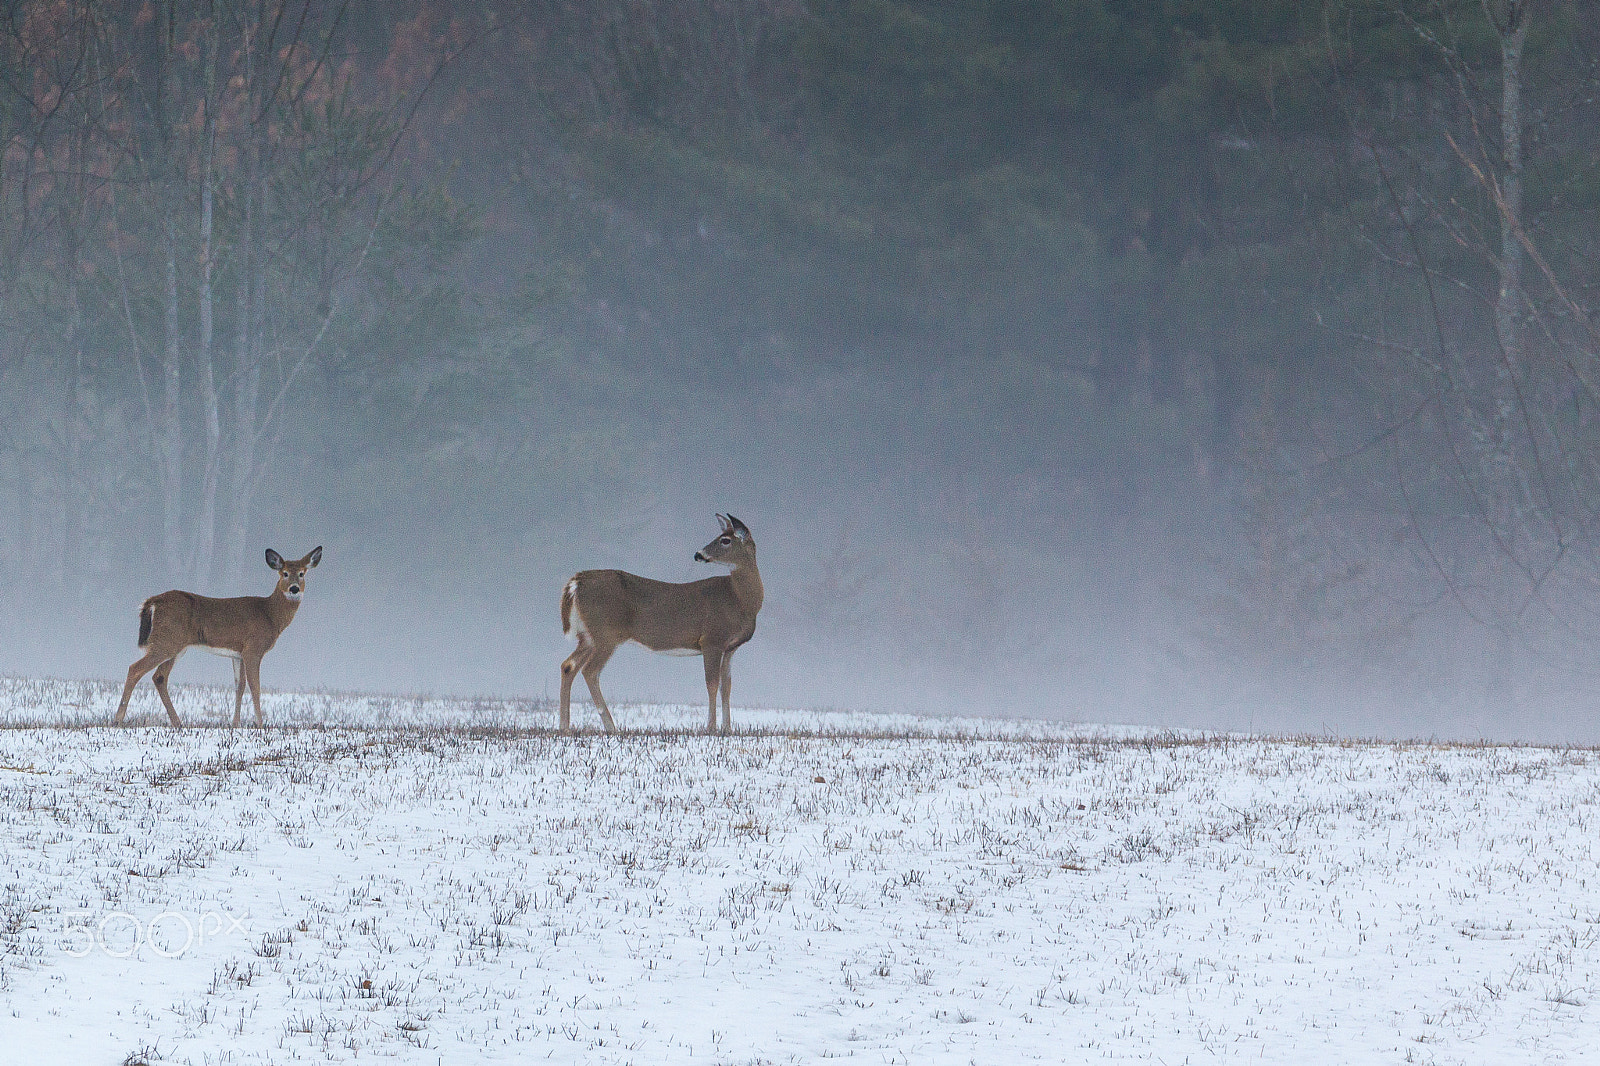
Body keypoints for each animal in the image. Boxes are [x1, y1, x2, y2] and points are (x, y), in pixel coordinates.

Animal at [113, 547, 324, 723]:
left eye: (302, 573)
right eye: (284, 573)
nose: (294, 588)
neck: (270, 614)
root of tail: (152, 602)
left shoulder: (237, 653)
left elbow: (239, 686)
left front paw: (235, 724)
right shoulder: (253, 648)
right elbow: (255, 686)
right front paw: (260, 724)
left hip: (175, 646)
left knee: (159, 677)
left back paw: (178, 723)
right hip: (166, 641)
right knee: (135, 669)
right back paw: (118, 719)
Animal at [560, 512, 764, 729]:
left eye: (725, 540)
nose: (698, 554)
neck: (740, 600)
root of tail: (576, 582)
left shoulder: (730, 647)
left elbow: (727, 686)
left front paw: (727, 728)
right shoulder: (711, 639)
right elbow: (712, 683)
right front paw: (711, 727)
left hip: (588, 635)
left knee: (568, 666)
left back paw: (564, 725)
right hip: (606, 633)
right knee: (590, 671)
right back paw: (611, 727)